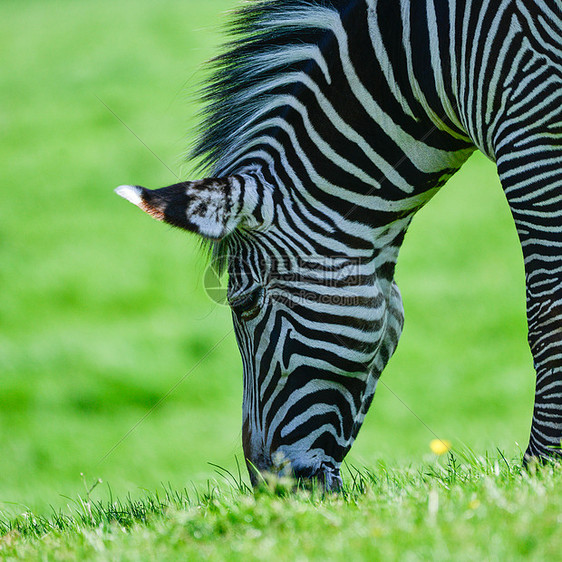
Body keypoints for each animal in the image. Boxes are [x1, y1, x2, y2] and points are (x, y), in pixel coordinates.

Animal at [114, 1, 560, 486]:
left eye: (243, 304)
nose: (267, 486)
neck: (439, 63)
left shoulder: (532, 126)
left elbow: (546, 312)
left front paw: (543, 463)